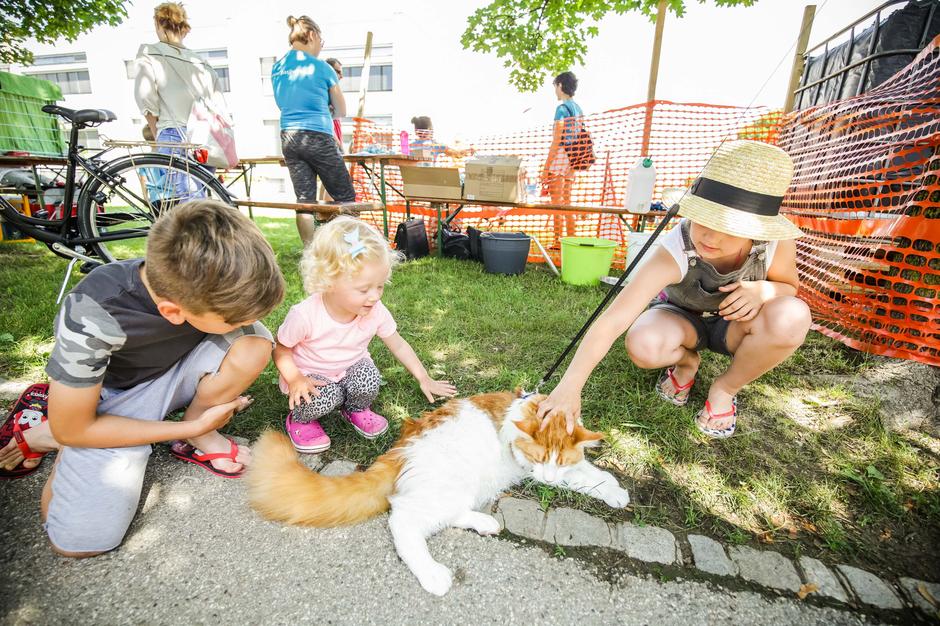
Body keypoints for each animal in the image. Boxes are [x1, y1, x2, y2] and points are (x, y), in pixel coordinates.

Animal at [248, 390, 632, 596]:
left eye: (559, 459)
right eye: (539, 458)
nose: (549, 477)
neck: (534, 406)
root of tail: (400, 448)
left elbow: (588, 473)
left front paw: (614, 490)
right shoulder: (529, 468)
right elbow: (579, 478)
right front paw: (609, 490)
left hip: (460, 490)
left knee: (449, 514)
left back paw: (485, 523)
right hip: (446, 487)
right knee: (404, 520)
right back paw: (432, 573)